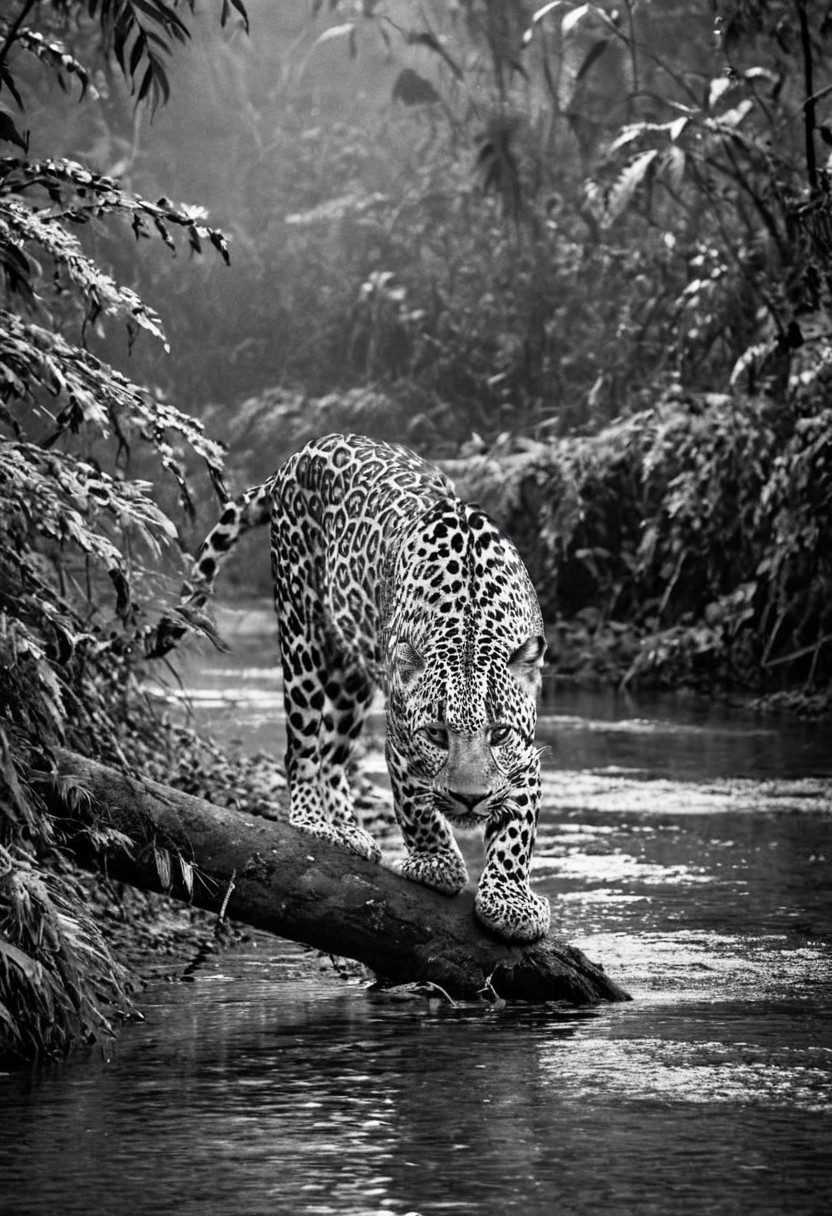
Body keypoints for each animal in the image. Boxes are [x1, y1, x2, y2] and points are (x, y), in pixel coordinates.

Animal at [154, 433, 550, 943]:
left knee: (334, 752)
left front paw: (510, 900)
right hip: (300, 631)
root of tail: (300, 454)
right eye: (436, 735)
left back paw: (349, 828)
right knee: (303, 746)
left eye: (499, 733)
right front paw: (438, 865)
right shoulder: (401, 743)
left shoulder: (526, 755)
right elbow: (415, 804)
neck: (470, 622)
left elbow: (516, 829)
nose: (469, 799)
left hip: (352, 675)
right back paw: (315, 822)